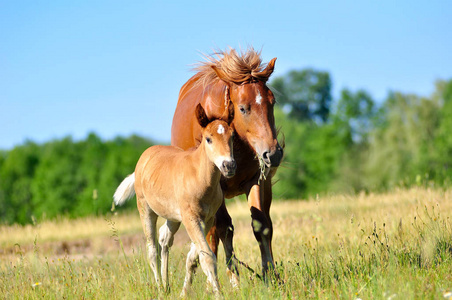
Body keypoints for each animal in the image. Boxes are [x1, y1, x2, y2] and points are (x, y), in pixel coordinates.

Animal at [113, 103, 237, 296]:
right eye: (208, 139)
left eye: (232, 136)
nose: (229, 166)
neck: (200, 178)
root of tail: (143, 159)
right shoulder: (191, 218)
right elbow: (207, 257)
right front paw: (218, 294)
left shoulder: (207, 219)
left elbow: (195, 256)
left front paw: (185, 292)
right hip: (145, 209)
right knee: (152, 249)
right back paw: (160, 289)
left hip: (173, 217)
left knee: (165, 240)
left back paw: (166, 285)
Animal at [172, 46, 282, 282]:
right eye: (243, 108)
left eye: (272, 102)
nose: (273, 153)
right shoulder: (216, 188)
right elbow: (224, 229)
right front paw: (234, 280)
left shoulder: (255, 181)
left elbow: (261, 225)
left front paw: (270, 276)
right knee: (213, 234)